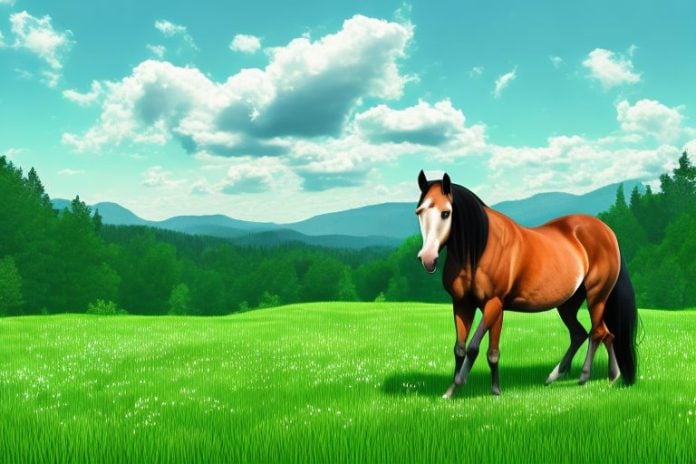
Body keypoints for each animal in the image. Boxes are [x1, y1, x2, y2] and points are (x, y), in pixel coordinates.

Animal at [415, 170, 638, 398]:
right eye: (419, 212)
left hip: (597, 296)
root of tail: (608, 232)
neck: (478, 248)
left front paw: (466, 383)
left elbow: (474, 347)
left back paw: (585, 377)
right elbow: (463, 349)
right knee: (589, 334)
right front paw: (457, 391)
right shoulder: (462, 304)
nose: (427, 258)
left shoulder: (493, 304)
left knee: (597, 333)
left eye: (445, 213)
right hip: (569, 303)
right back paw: (593, 376)